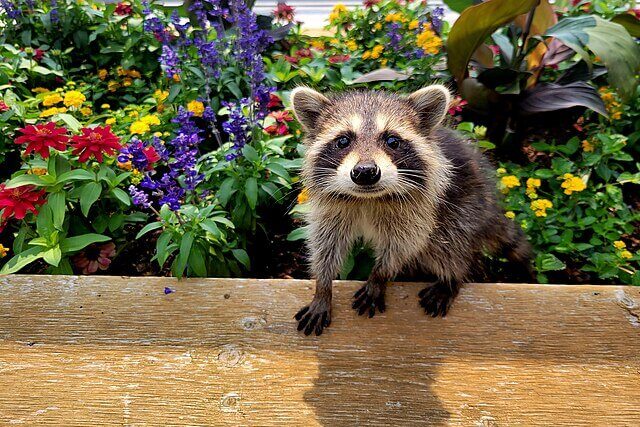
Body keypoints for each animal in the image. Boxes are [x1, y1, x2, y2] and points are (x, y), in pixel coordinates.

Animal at [290, 85, 534, 336]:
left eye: (392, 141)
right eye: (342, 141)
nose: (365, 172)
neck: (368, 198)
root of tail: (491, 208)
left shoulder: (419, 208)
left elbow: (404, 242)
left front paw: (379, 276)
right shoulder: (332, 208)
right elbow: (326, 243)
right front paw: (322, 286)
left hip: (467, 205)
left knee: (448, 243)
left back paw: (453, 276)